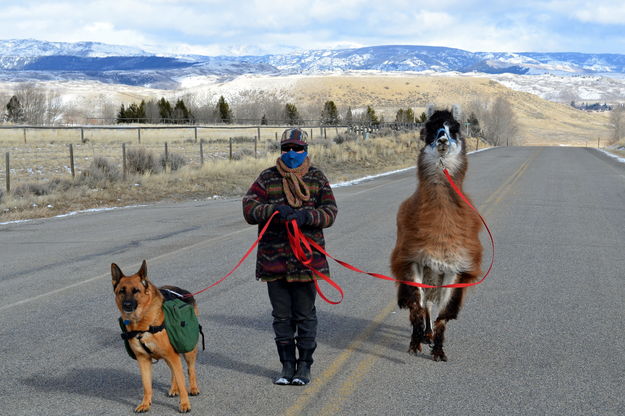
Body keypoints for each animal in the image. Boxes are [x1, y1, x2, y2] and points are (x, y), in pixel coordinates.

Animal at [111, 260, 200, 412]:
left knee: (190, 369)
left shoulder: (171, 354)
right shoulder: (143, 360)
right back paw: (173, 388)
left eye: (136, 291)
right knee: (174, 371)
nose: (127, 305)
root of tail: (185, 292)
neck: (142, 323)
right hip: (168, 355)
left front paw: (184, 404)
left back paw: (193, 388)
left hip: (187, 350)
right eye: (121, 291)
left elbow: (182, 382)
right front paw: (145, 404)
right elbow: (147, 386)